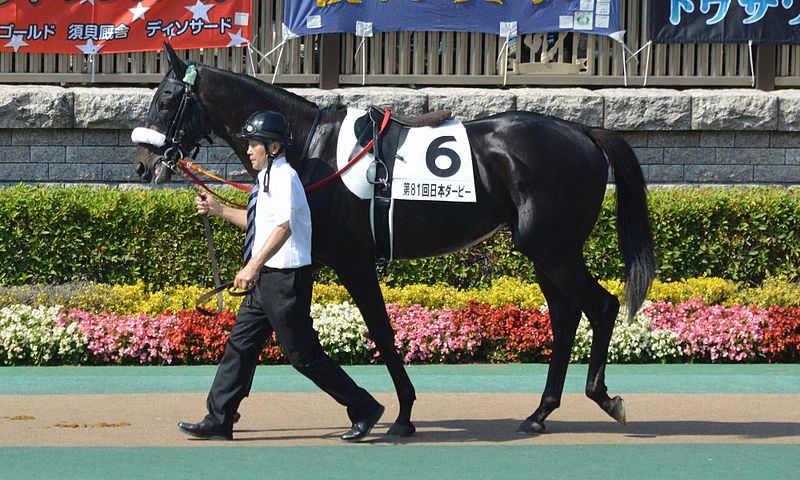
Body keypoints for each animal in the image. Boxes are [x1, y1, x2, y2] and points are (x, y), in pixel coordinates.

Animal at [134, 45, 652, 438]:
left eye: (166, 100)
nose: (143, 165)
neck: (308, 147)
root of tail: (583, 130)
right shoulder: (313, 257)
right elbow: (260, 330)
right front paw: (216, 417)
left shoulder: (353, 260)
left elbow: (381, 331)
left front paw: (397, 414)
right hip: (544, 251)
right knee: (565, 317)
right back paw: (540, 413)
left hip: (554, 248)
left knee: (602, 306)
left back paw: (605, 397)